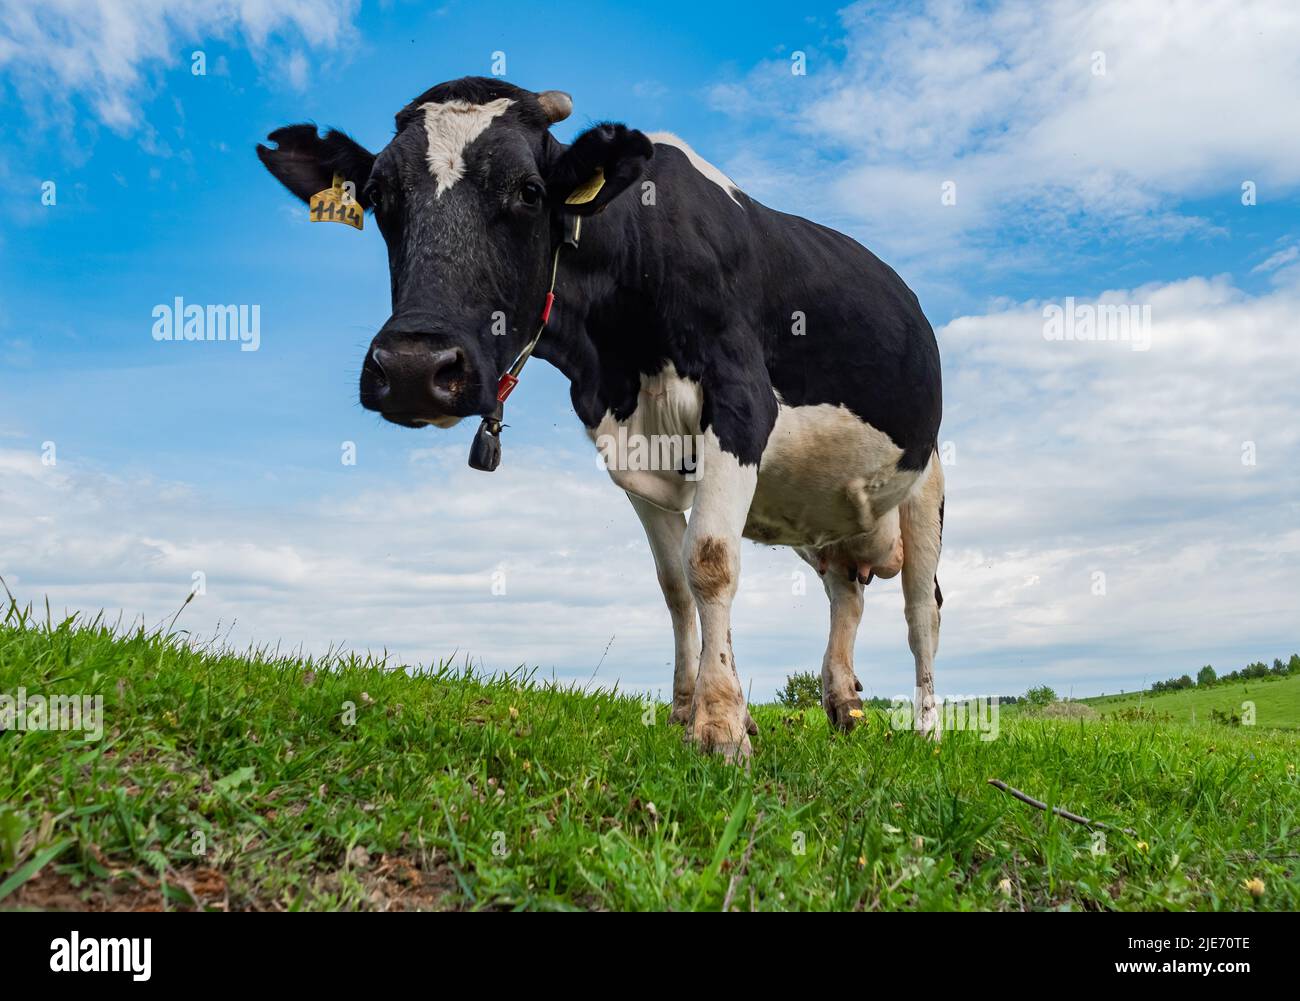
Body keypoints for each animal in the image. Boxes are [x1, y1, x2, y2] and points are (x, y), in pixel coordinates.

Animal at [257, 77, 944, 760]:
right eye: (377, 197)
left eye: (529, 192)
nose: (410, 366)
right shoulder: (629, 447)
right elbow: (674, 584)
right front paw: (687, 710)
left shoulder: (742, 401)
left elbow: (711, 559)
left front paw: (721, 725)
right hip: (823, 514)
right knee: (846, 593)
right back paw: (844, 707)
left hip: (927, 482)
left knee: (922, 610)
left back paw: (928, 732)